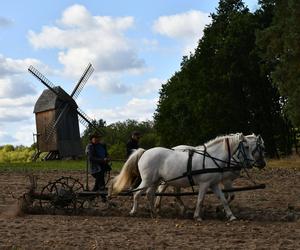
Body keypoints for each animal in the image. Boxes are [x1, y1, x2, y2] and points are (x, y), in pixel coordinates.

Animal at [111, 133, 254, 221]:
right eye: (246, 147)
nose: (252, 163)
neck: (211, 158)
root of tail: (145, 152)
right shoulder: (204, 184)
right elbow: (200, 200)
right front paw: (197, 217)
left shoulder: (213, 184)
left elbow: (223, 199)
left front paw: (231, 216)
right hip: (147, 180)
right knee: (137, 193)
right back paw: (134, 212)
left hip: (155, 181)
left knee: (149, 194)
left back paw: (155, 213)